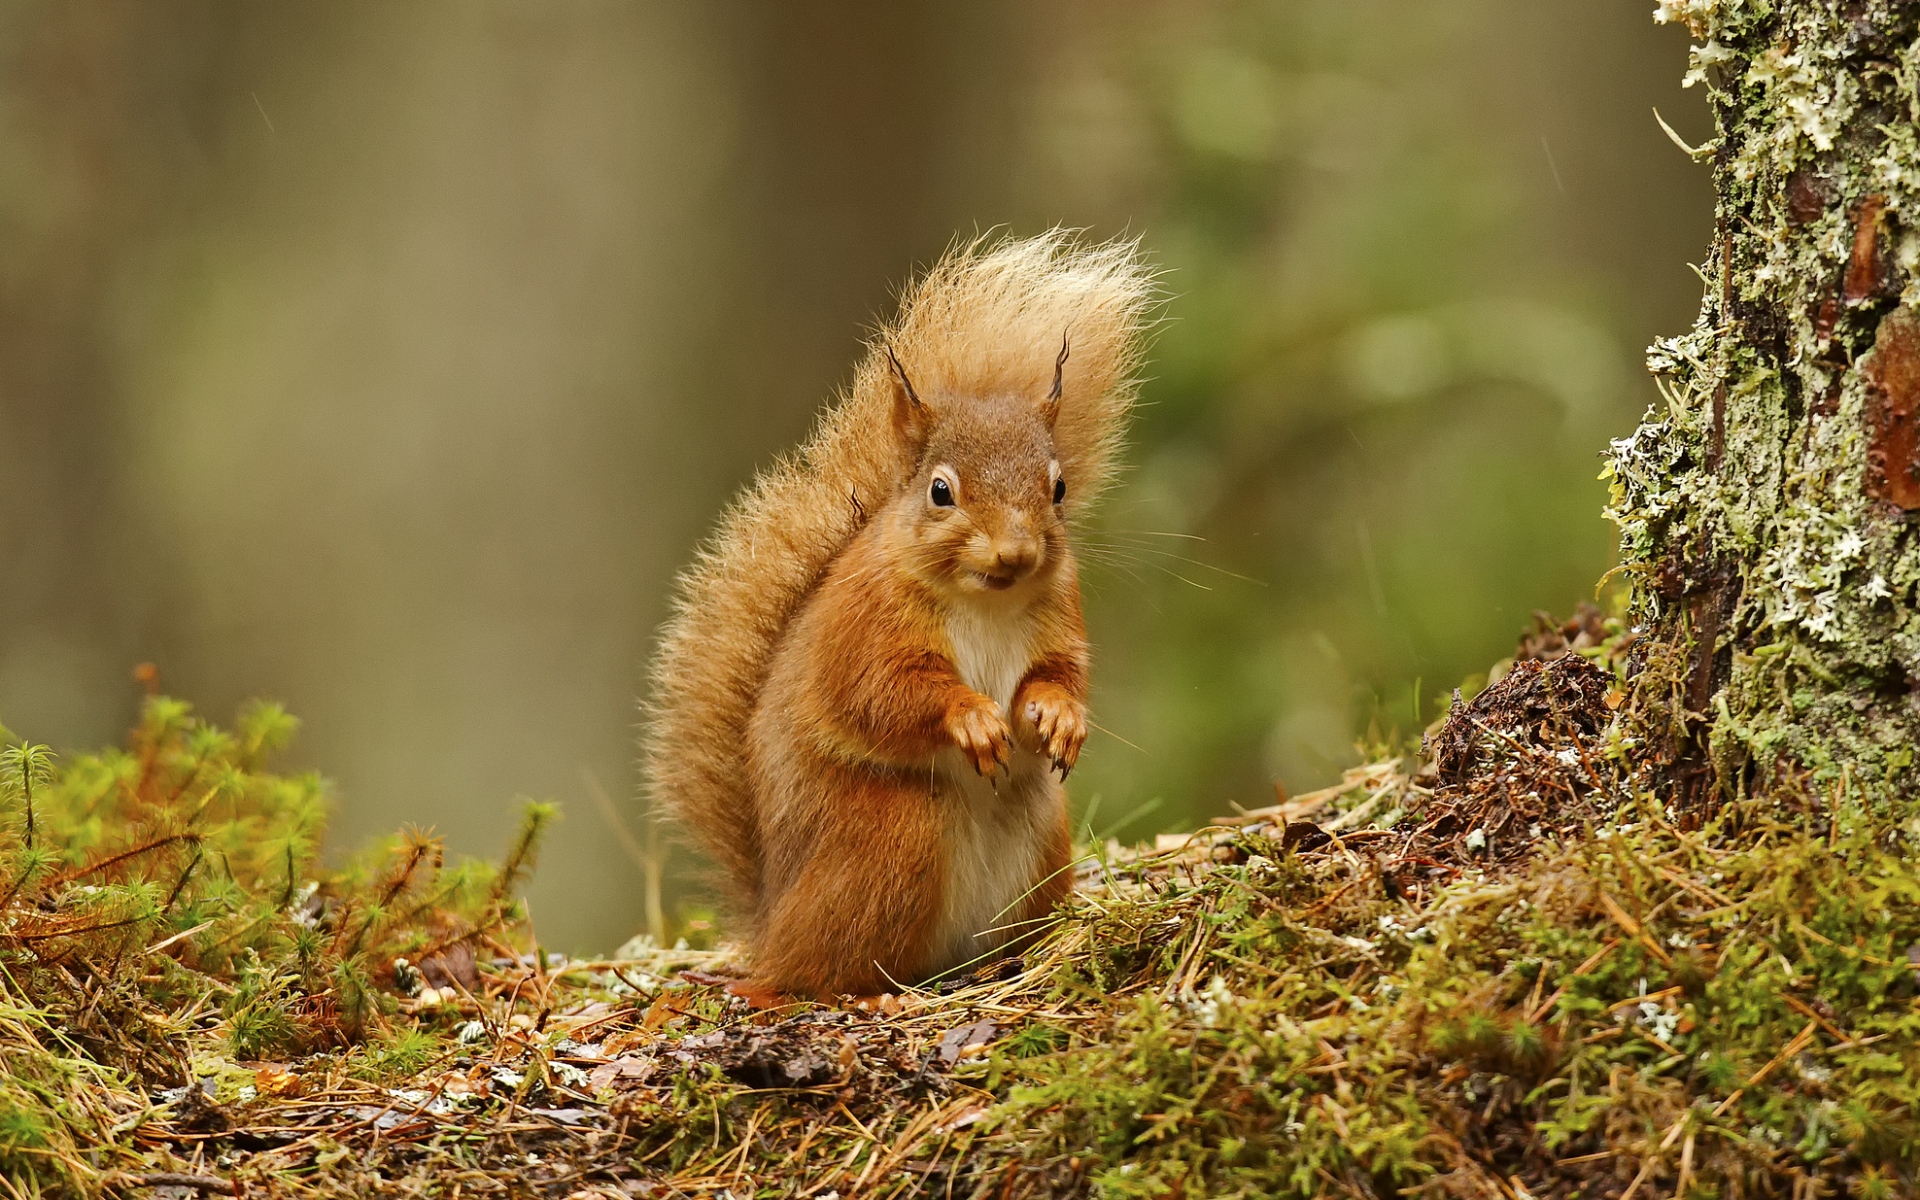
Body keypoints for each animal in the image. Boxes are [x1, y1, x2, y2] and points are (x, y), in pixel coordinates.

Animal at [644, 232, 1154, 998]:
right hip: (894, 839)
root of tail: (773, 919)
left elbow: (1060, 674)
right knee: (814, 973)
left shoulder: (1060, 614)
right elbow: (880, 694)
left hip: (1041, 841)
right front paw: (971, 718)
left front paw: (1059, 718)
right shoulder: (865, 626)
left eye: (1059, 488)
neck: (985, 600)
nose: (1016, 551)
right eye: (940, 491)